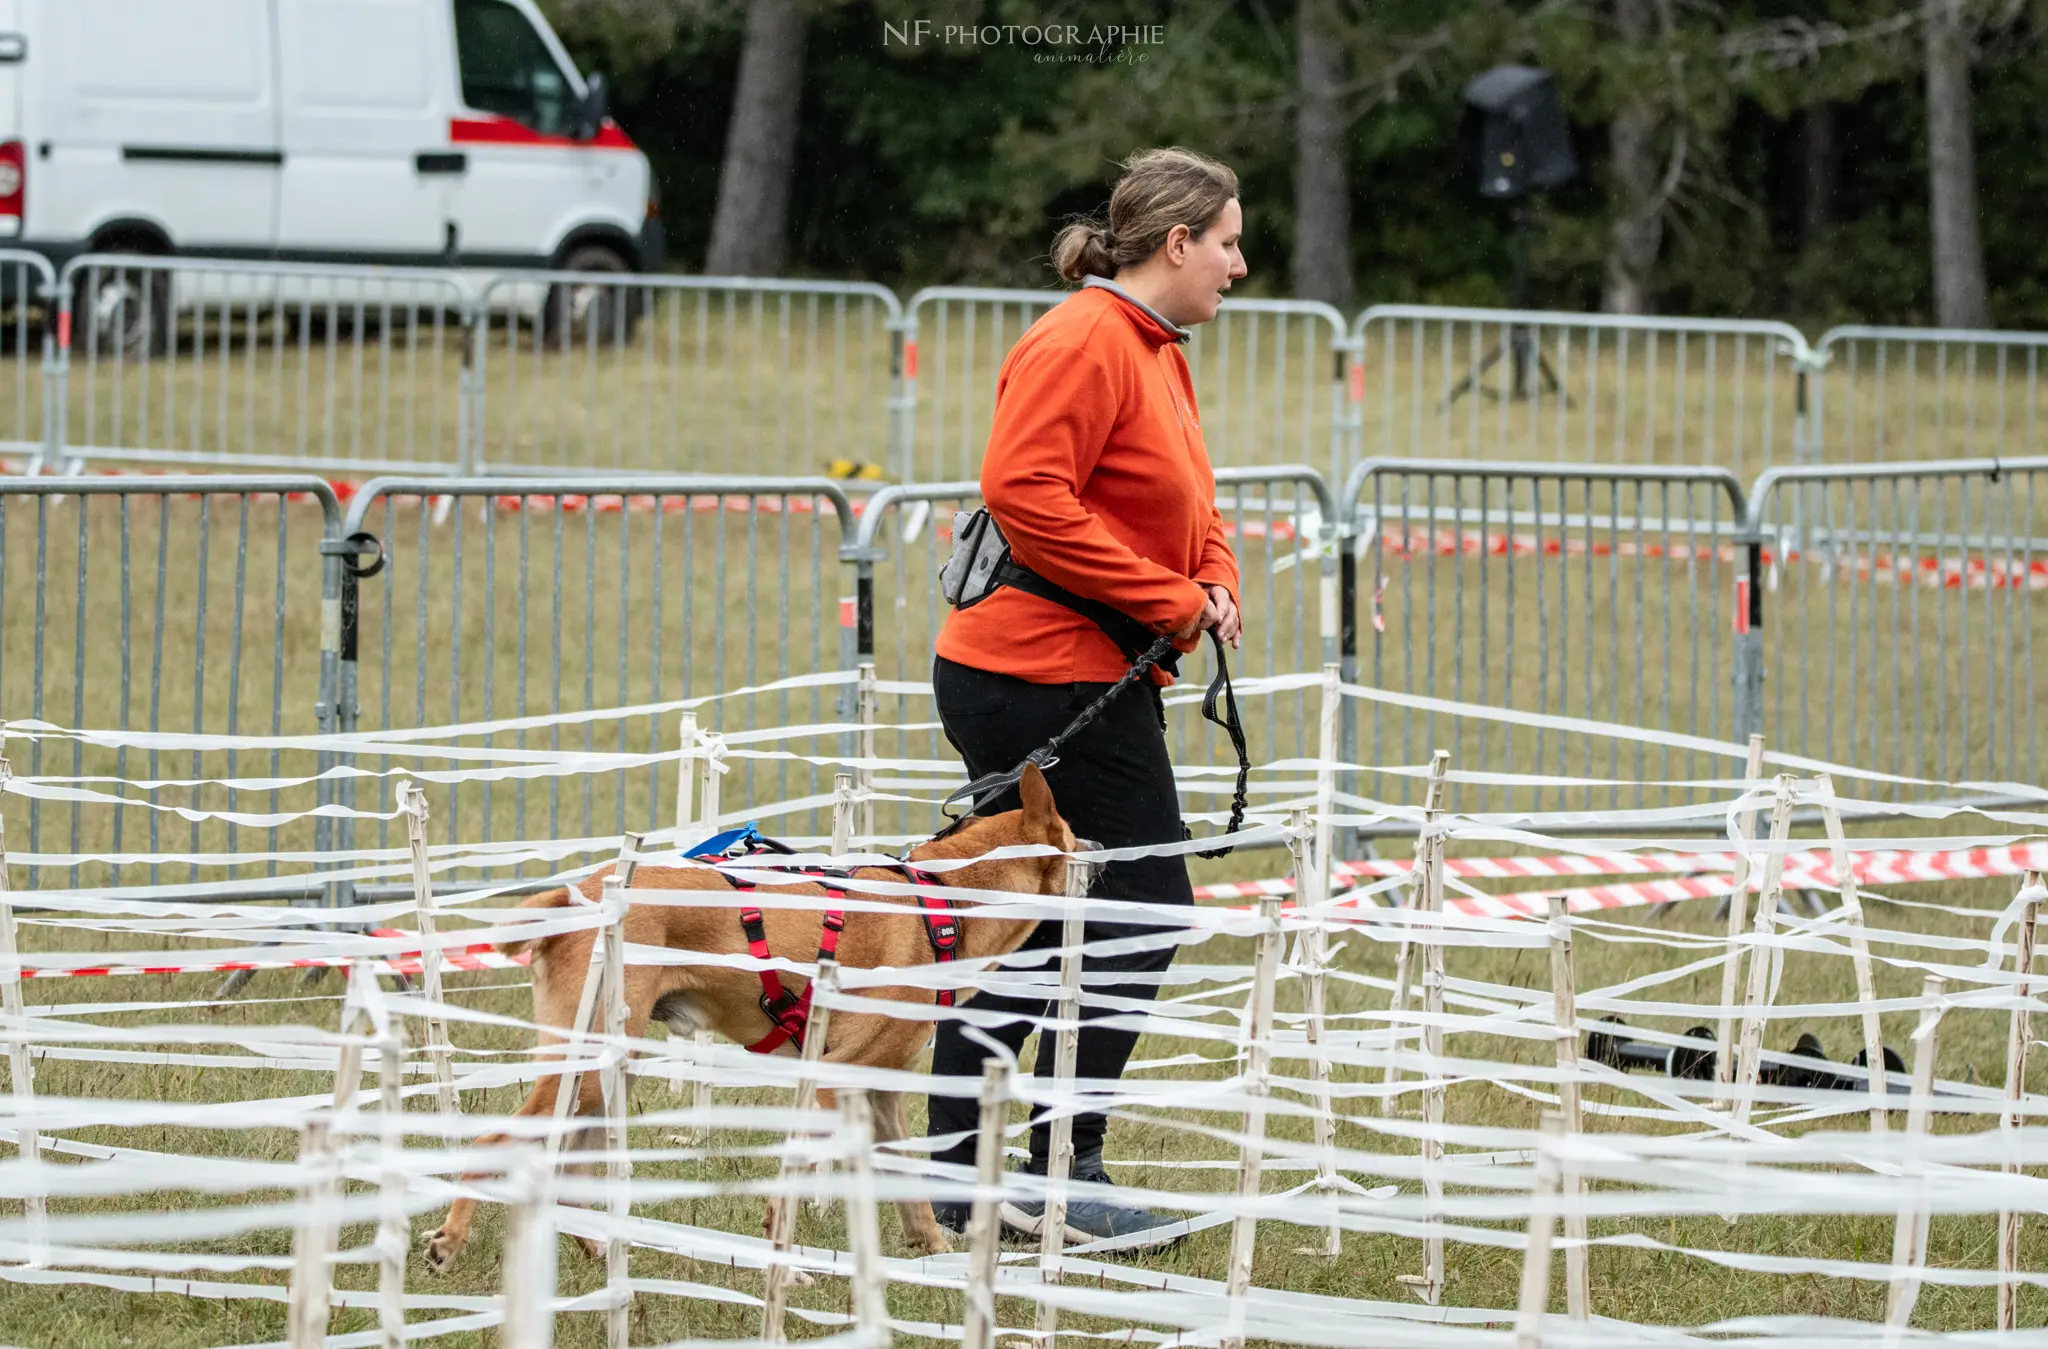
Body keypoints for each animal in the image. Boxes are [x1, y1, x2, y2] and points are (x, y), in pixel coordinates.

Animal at [423, 765, 1081, 1269]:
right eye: (1078, 839)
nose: (1101, 861)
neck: (943, 900)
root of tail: (578, 893)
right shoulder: (834, 1078)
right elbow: (793, 1181)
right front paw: (786, 1266)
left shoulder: (878, 1090)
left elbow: (911, 1192)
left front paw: (939, 1262)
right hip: (584, 1067)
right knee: (495, 1144)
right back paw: (451, 1243)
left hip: (604, 1076)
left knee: (568, 1176)